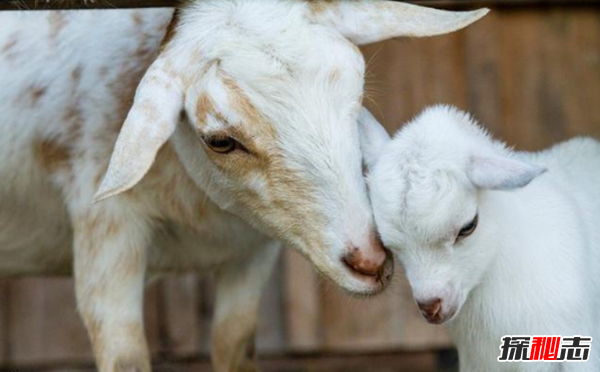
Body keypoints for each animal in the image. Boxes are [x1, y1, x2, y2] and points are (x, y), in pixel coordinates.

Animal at [0, 1, 488, 370]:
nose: (369, 261)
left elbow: (233, 344)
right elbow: (126, 356)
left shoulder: (253, 251)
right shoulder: (104, 227)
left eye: (359, 92)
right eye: (221, 140)